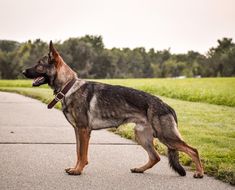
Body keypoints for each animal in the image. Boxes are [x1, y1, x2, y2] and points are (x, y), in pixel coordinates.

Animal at [23, 41, 204, 178]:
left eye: (39, 65)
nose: (23, 71)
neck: (69, 86)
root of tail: (167, 105)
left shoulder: (83, 130)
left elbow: (82, 153)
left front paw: (78, 170)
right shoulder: (78, 130)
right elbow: (77, 151)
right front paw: (75, 168)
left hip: (165, 136)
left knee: (193, 150)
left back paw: (199, 173)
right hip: (142, 135)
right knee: (156, 157)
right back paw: (139, 169)